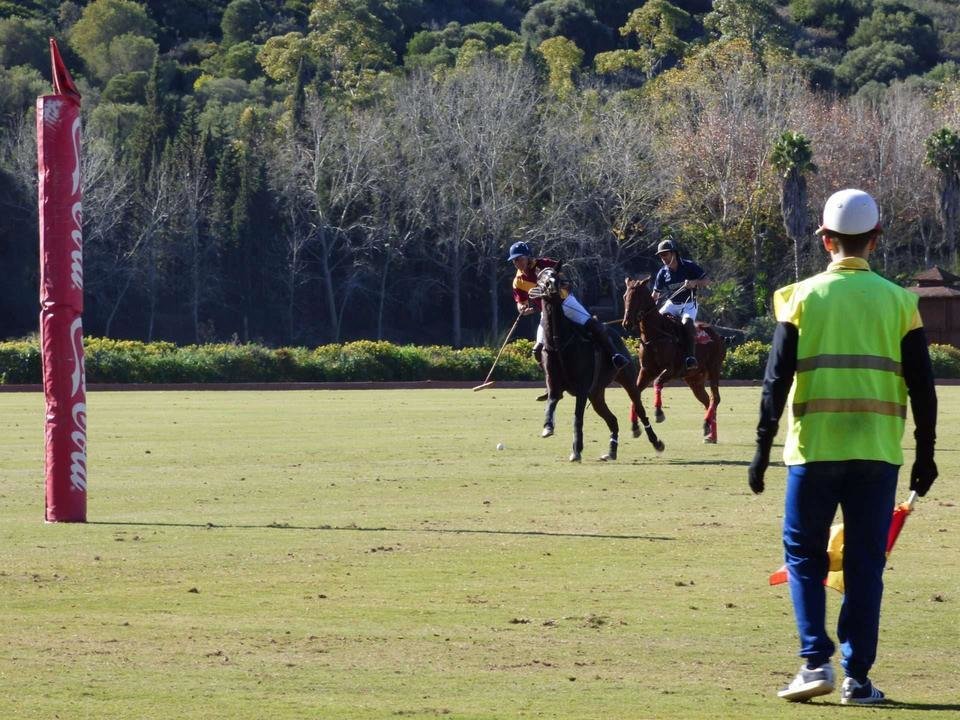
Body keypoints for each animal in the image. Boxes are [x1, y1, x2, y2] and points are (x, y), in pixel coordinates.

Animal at [524, 264, 668, 462]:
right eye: (540, 278)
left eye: (556, 275)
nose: (552, 286)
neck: (559, 343)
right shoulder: (555, 384)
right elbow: (551, 401)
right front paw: (548, 427)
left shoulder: (582, 389)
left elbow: (577, 418)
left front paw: (576, 451)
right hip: (596, 393)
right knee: (613, 419)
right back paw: (611, 451)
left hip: (627, 381)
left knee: (640, 409)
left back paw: (656, 442)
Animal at [624, 278, 728, 442]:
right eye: (625, 297)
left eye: (637, 297)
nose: (626, 323)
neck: (656, 335)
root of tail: (719, 336)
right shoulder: (646, 370)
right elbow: (635, 394)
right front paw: (635, 427)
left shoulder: (671, 370)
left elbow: (657, 382)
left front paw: (659, 413)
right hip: (694, 379)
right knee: (707, 400)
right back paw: (711, 434)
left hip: (714, 369)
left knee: (715, 398)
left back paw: (707, 426)